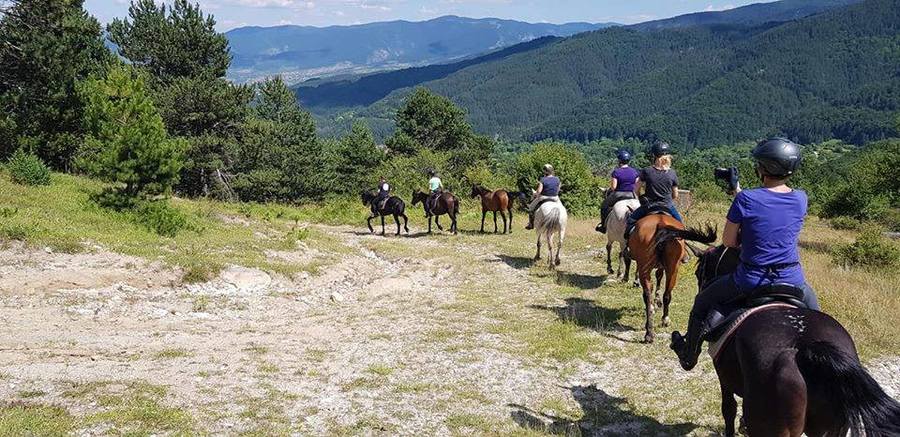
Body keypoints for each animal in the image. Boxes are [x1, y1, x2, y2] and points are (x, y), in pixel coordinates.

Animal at [628, 215, 712, 344]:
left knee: (649, 295)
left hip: (648, 268)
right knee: (665, 294)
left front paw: (656, 302)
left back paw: (649, 331)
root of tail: (660, 222)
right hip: (672, 269)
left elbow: (658, 277)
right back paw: (663, 321)